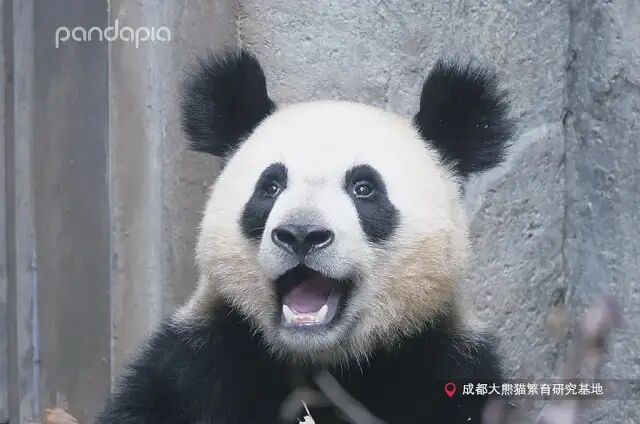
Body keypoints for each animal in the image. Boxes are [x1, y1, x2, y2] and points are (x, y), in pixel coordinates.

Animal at [97, 49, 515, 424]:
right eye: (270, 187)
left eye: (364, 189)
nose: (301, 235)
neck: (318, 359)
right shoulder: (197, 363)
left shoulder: (445, 368)